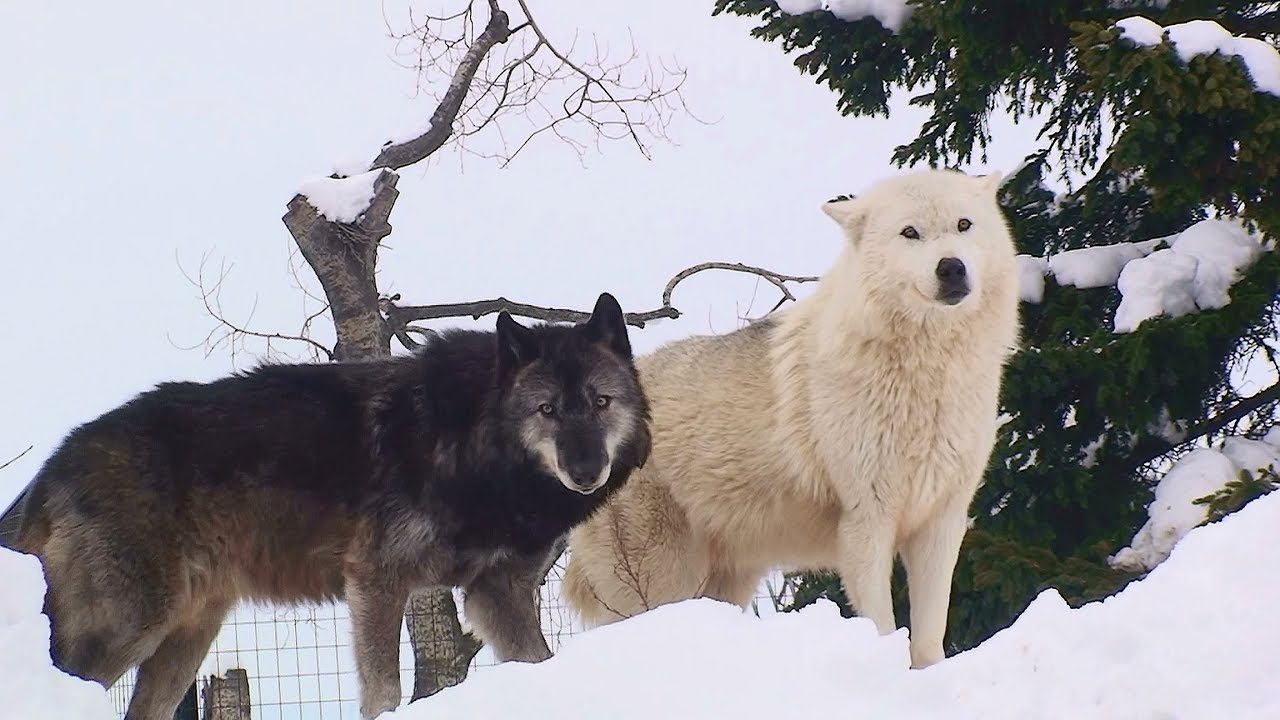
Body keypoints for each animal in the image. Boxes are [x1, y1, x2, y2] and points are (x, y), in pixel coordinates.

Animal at [12, 292, 651, 720]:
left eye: (600, 402)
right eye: (546, 410)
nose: (586, 471)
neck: (476, 450)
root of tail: (53, 464)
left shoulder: (498, 592)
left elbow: (537, 659)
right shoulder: (376, 579)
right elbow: (383, 690)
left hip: (186, 640)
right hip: (128, 626)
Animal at [563, 169, 1021, 668]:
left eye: (964, 225)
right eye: (910, 233)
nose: (951, 268)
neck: (929, 372)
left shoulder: (941, 521)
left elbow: (929, 636)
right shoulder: (866, 521)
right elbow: (882, 625)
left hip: (724, 583)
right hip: (662, 580)